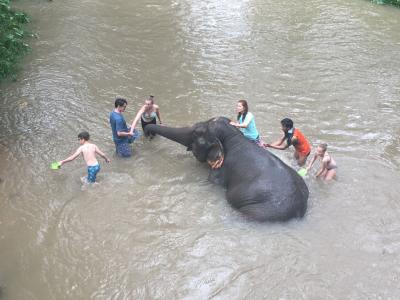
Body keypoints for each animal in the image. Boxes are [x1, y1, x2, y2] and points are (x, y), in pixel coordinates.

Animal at [145, 117, 308, 223]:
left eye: (196, 133)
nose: (147, 132)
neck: (234, 135)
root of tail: (299, 210)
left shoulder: (221, 169)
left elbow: (212, 181)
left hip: (262, 212)